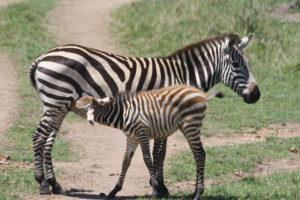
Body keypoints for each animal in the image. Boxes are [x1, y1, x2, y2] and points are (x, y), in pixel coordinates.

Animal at [71, 85, 224, 200]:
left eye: (78, 106)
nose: (70, 101)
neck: (123, 115)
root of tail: (202, 94)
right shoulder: (132, 138)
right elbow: (125, 161)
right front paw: (114, 191)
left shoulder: (142, 134)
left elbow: (147, 159)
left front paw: (155, 189)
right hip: (189, 127)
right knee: (197, 154)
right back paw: (195, 192)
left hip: (191, 125)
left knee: (200, 154)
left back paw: (198, 194)